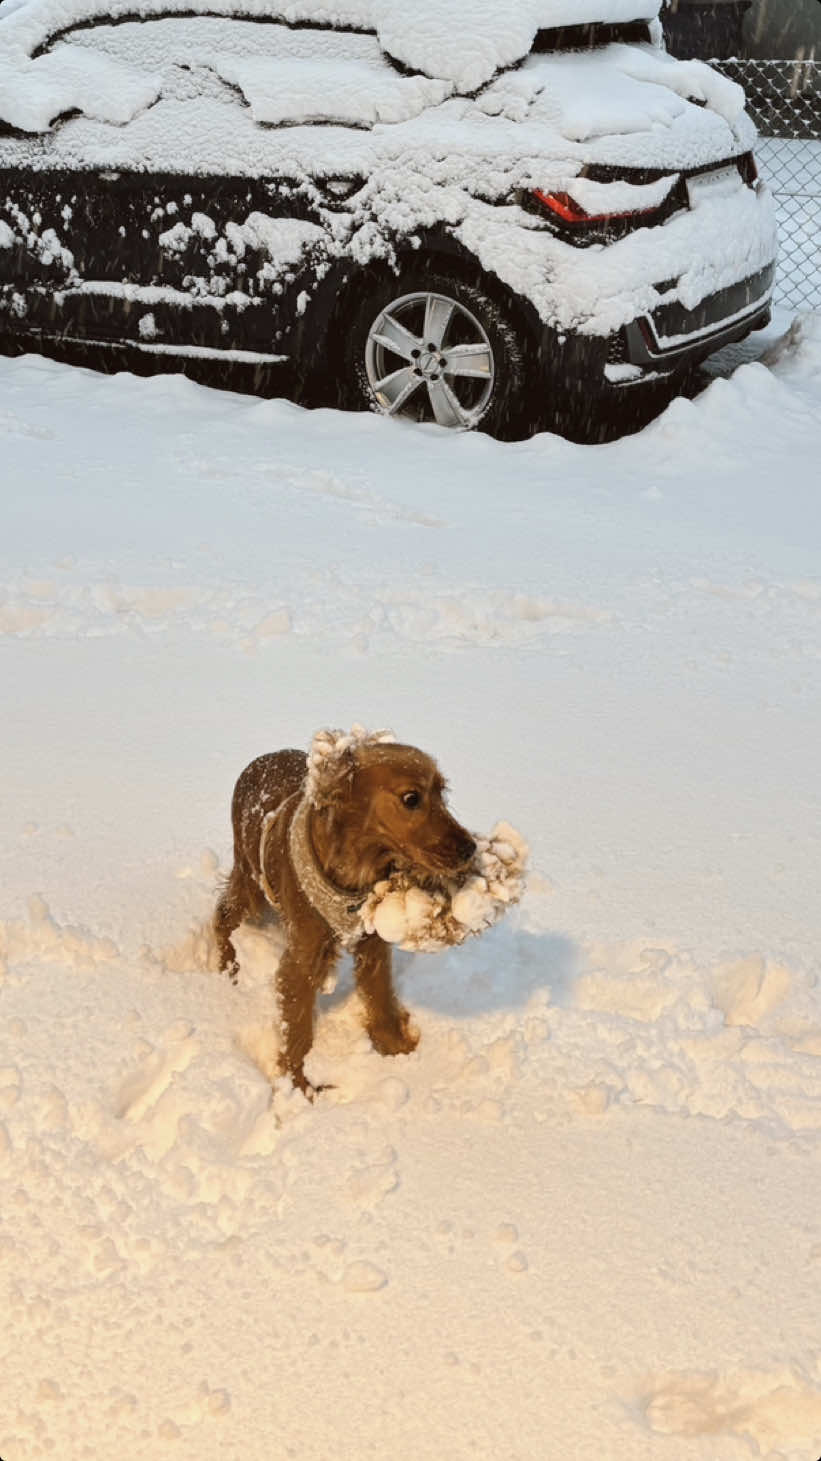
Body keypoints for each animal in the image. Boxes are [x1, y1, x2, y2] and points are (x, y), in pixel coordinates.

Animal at [214, 730, 476, 1098]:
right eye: (411, 798)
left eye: (442, 792)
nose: (470, 848)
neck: (356, 873)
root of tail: (257, 762)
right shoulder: (302, 956)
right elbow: (298, 1028)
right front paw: (299, 1087)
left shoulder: (373, 945)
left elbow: (381, 1000)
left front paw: (399, 1052)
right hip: (249, 881)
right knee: (222, 914)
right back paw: (228, 965)